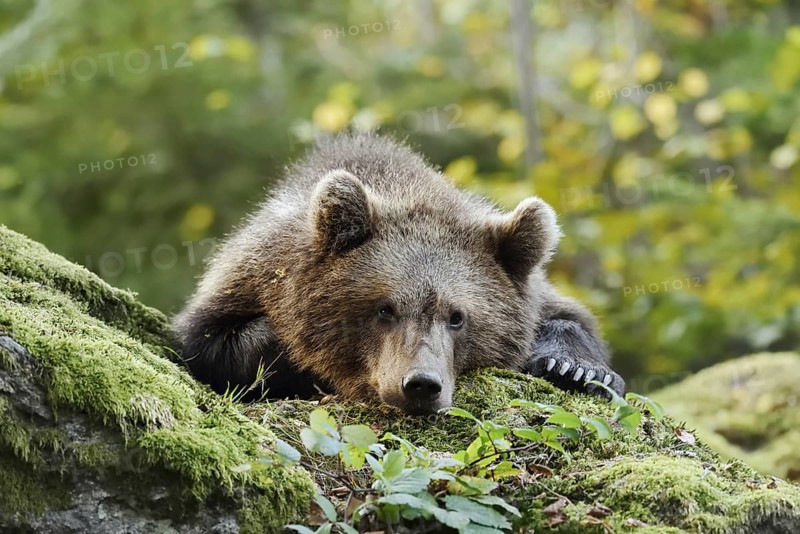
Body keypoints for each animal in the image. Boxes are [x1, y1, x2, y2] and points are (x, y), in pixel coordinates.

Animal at [172, 133, 624, 414]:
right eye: (384, 308)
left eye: (457, 316)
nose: (422, 384)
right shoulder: (248, 276)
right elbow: (212, 343)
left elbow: (571, 319)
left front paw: (575, 369)